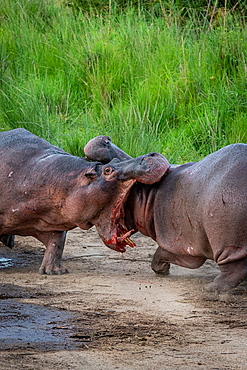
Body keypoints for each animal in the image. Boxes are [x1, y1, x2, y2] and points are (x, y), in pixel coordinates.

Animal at [0, 129, 169, 274]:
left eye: (114, 159)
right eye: (108, 170)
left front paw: (55, 271)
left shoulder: (52, 222)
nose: (151, 155)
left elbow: (57, 243)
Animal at [84, 135, 247, 292]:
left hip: (228, 242)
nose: (105, 139)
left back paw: (211, 289)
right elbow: (159, 253)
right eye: (115, 159)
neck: (150, 192)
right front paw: (163, 270)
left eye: (108, 169)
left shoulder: (181, 246)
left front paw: (162, 270)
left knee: (233, 270)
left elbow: (161, 253)